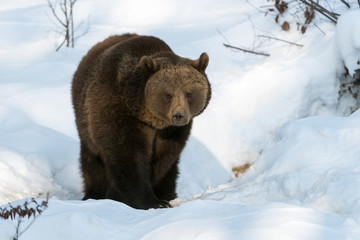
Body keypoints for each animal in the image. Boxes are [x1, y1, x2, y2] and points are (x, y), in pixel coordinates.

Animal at [71, 33, 210, 210]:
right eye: (168, 94)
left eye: (189, 93)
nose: (178, 115)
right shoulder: (119, 112)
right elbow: (128, 155)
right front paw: (150, 201)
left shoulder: (172, 132)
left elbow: (164, 159)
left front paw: (161, 198)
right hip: (84, 121)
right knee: (92, 162)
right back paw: (94, 194)